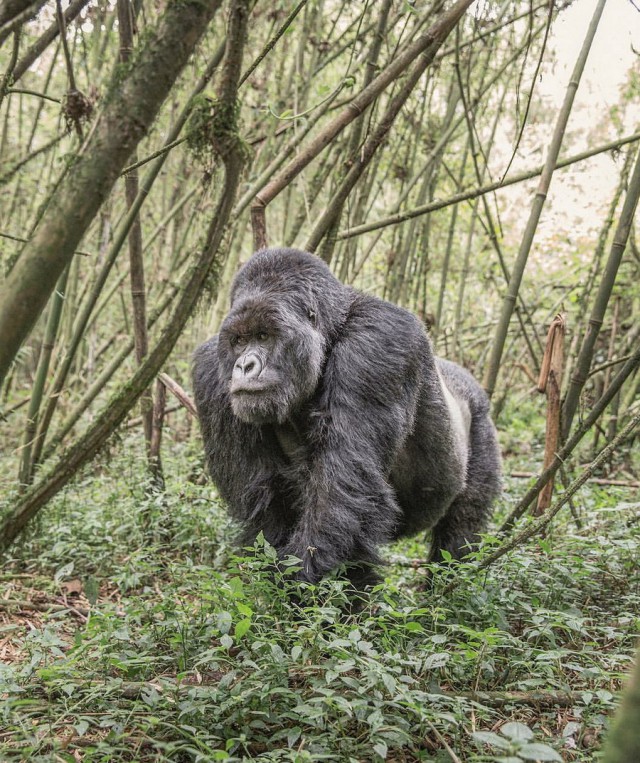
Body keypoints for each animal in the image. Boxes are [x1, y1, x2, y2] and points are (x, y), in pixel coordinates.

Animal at [192, 248, 502, 588]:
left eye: (263, 335)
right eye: (238, 341)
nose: (244, 366)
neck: (330, 332)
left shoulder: (379, 343)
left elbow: (343, 493)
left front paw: (304, 586)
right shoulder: (209, 372)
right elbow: (266, 507)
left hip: (482, 423)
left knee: (461, 532)